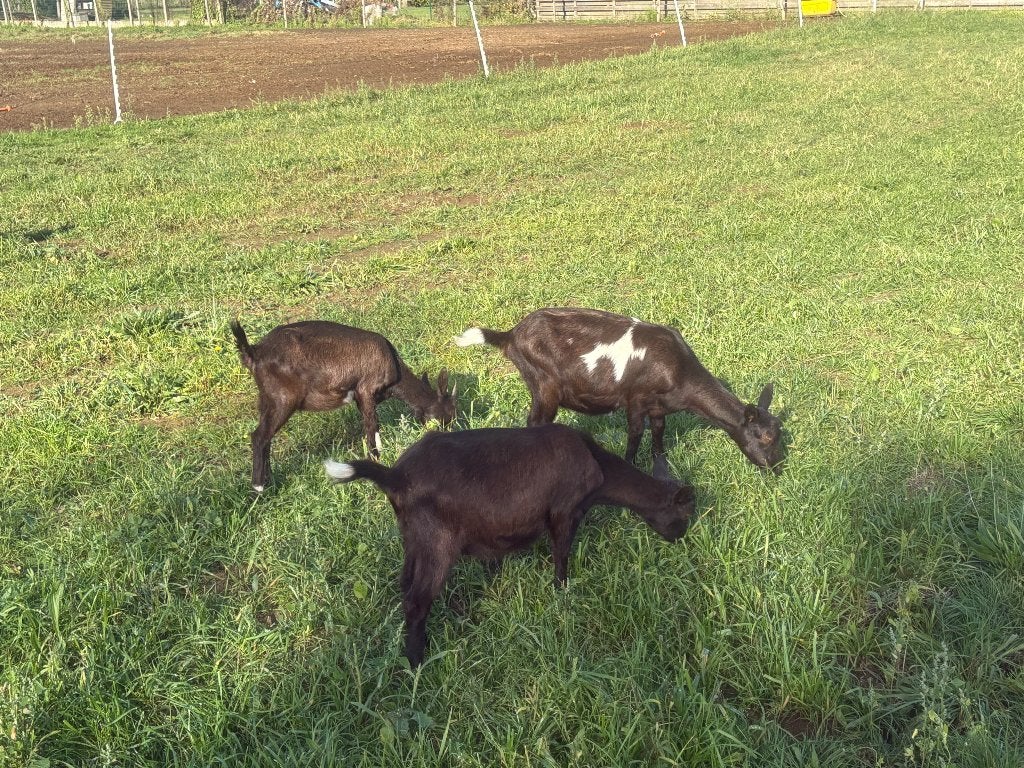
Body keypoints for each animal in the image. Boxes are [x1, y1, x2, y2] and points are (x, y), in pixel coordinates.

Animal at [231, 319, 456, 492]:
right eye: (449, 414)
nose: (449, 437)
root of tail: (253, 352)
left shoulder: (360, 399)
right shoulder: (366, 389)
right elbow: (372, 426)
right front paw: (376, 459)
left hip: (266, 399)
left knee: (265, 437)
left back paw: (269, 482)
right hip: (283, 399)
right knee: (260, 436)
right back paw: (258, 488)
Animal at [324, 423, 695, 666]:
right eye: (685, 512)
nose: (681, 537)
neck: (596, 464)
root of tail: (395, 477)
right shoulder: (564, 511)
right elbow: (561, 553)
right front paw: (562, 590)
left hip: (413, 538)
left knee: (404, 585)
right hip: (437, 542)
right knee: (416, 601)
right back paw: (417, 662)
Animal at [455, 307, 783, 472]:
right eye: (765, 437)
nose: (773, 466)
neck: (679, 374)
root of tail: (511, 335)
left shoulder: (659, 405)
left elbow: (659, 432)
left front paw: (662, 464)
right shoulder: (635, 399)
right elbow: (635, 434)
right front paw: (630, 466)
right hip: (543, 384)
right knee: (535, 422)